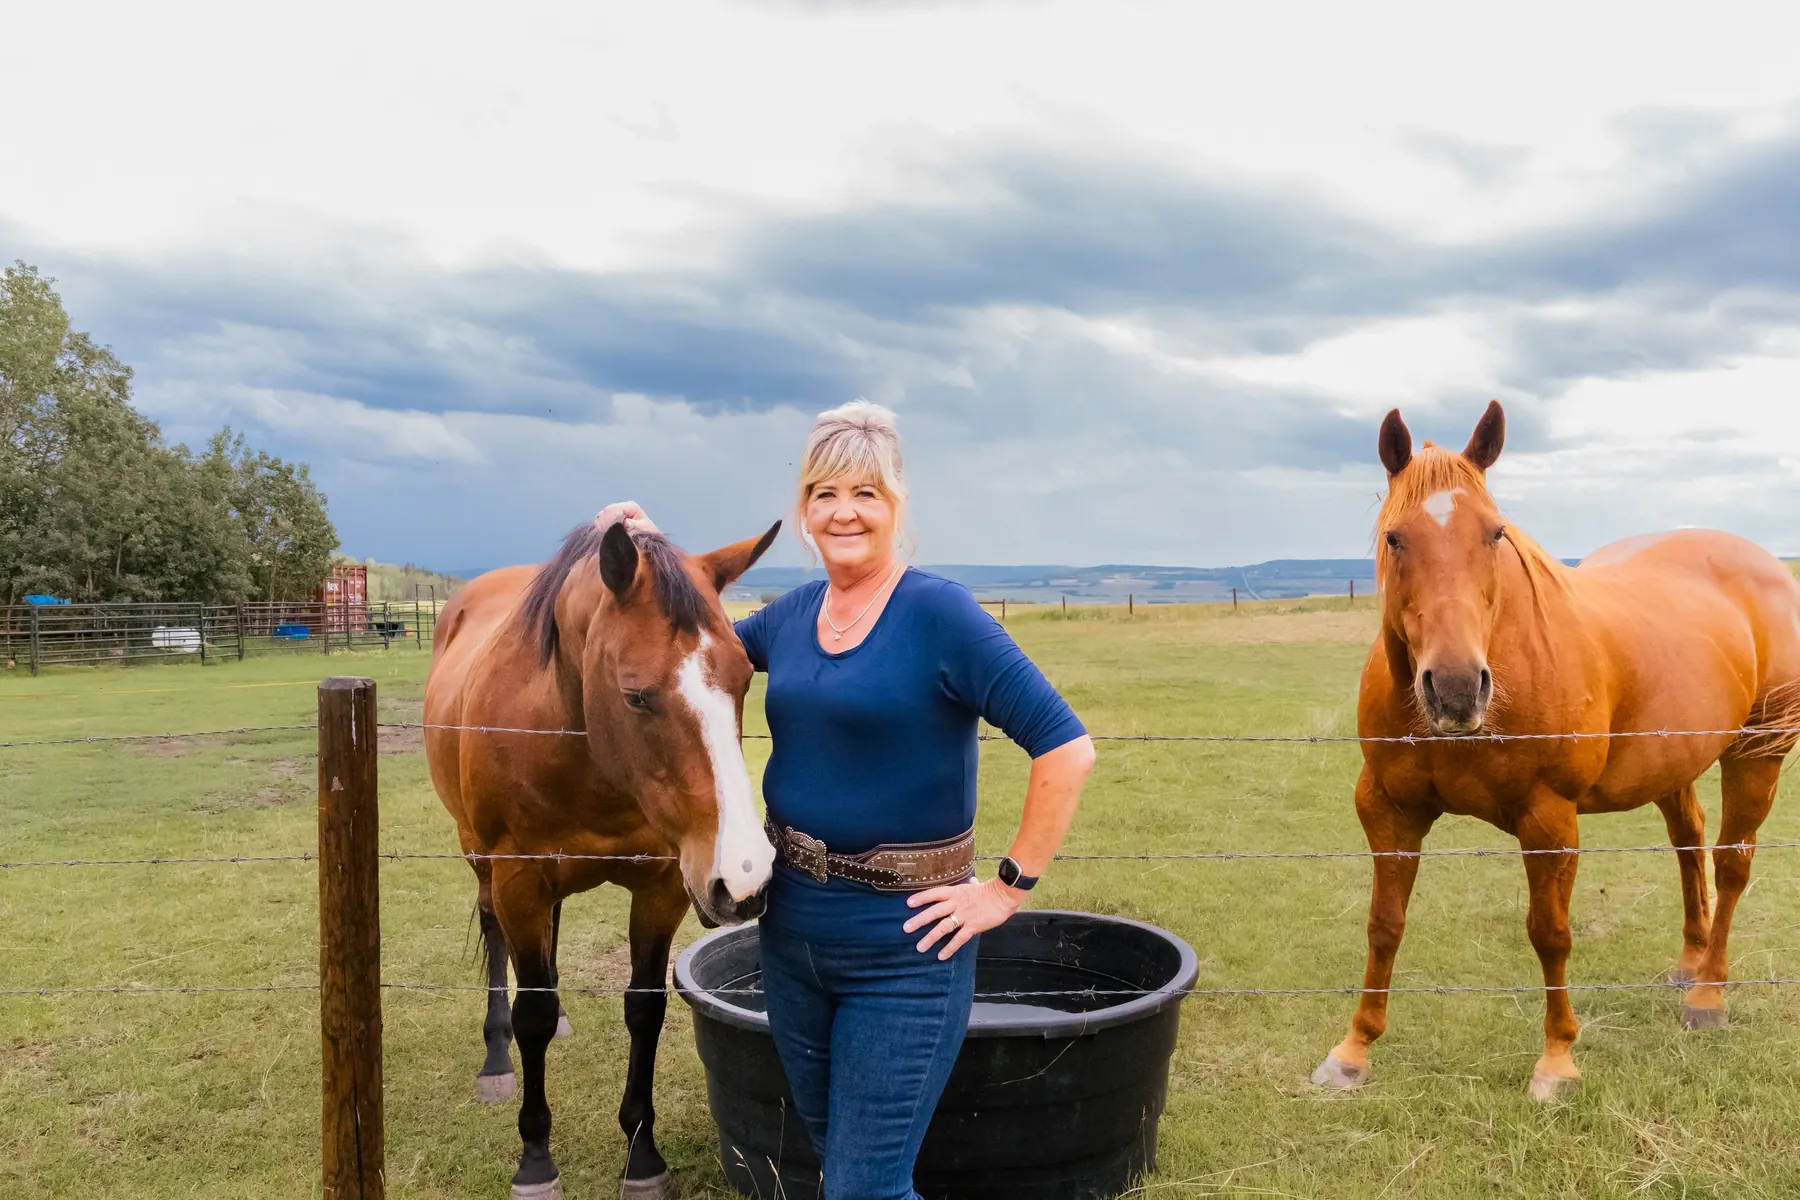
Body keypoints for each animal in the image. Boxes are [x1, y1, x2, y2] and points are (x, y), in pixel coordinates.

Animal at [425, 517, 782, 1199]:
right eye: (636, 696)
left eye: (746, 678)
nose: (744, 881)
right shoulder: (518, 878)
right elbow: (531, 1010)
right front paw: (536, 1162)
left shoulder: (663, 885)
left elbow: (644, 1008)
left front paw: (642, 1157)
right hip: (480, 858)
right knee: (497, 939)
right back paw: (496, 1058)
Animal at [1311, 401, 1800, 1102]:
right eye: (1395, 538)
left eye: (1495, 533)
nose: (1456, 689)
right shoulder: (1387, 810)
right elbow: (1385, 924)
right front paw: (1353, 1050)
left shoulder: (1548, 820)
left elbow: (1550, 935)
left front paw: (1558, 1060)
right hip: (1673, 764)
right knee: (1690, 843)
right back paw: (1690, 962)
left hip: (1757, 754)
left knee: (1732, 863)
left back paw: (1707, 997)